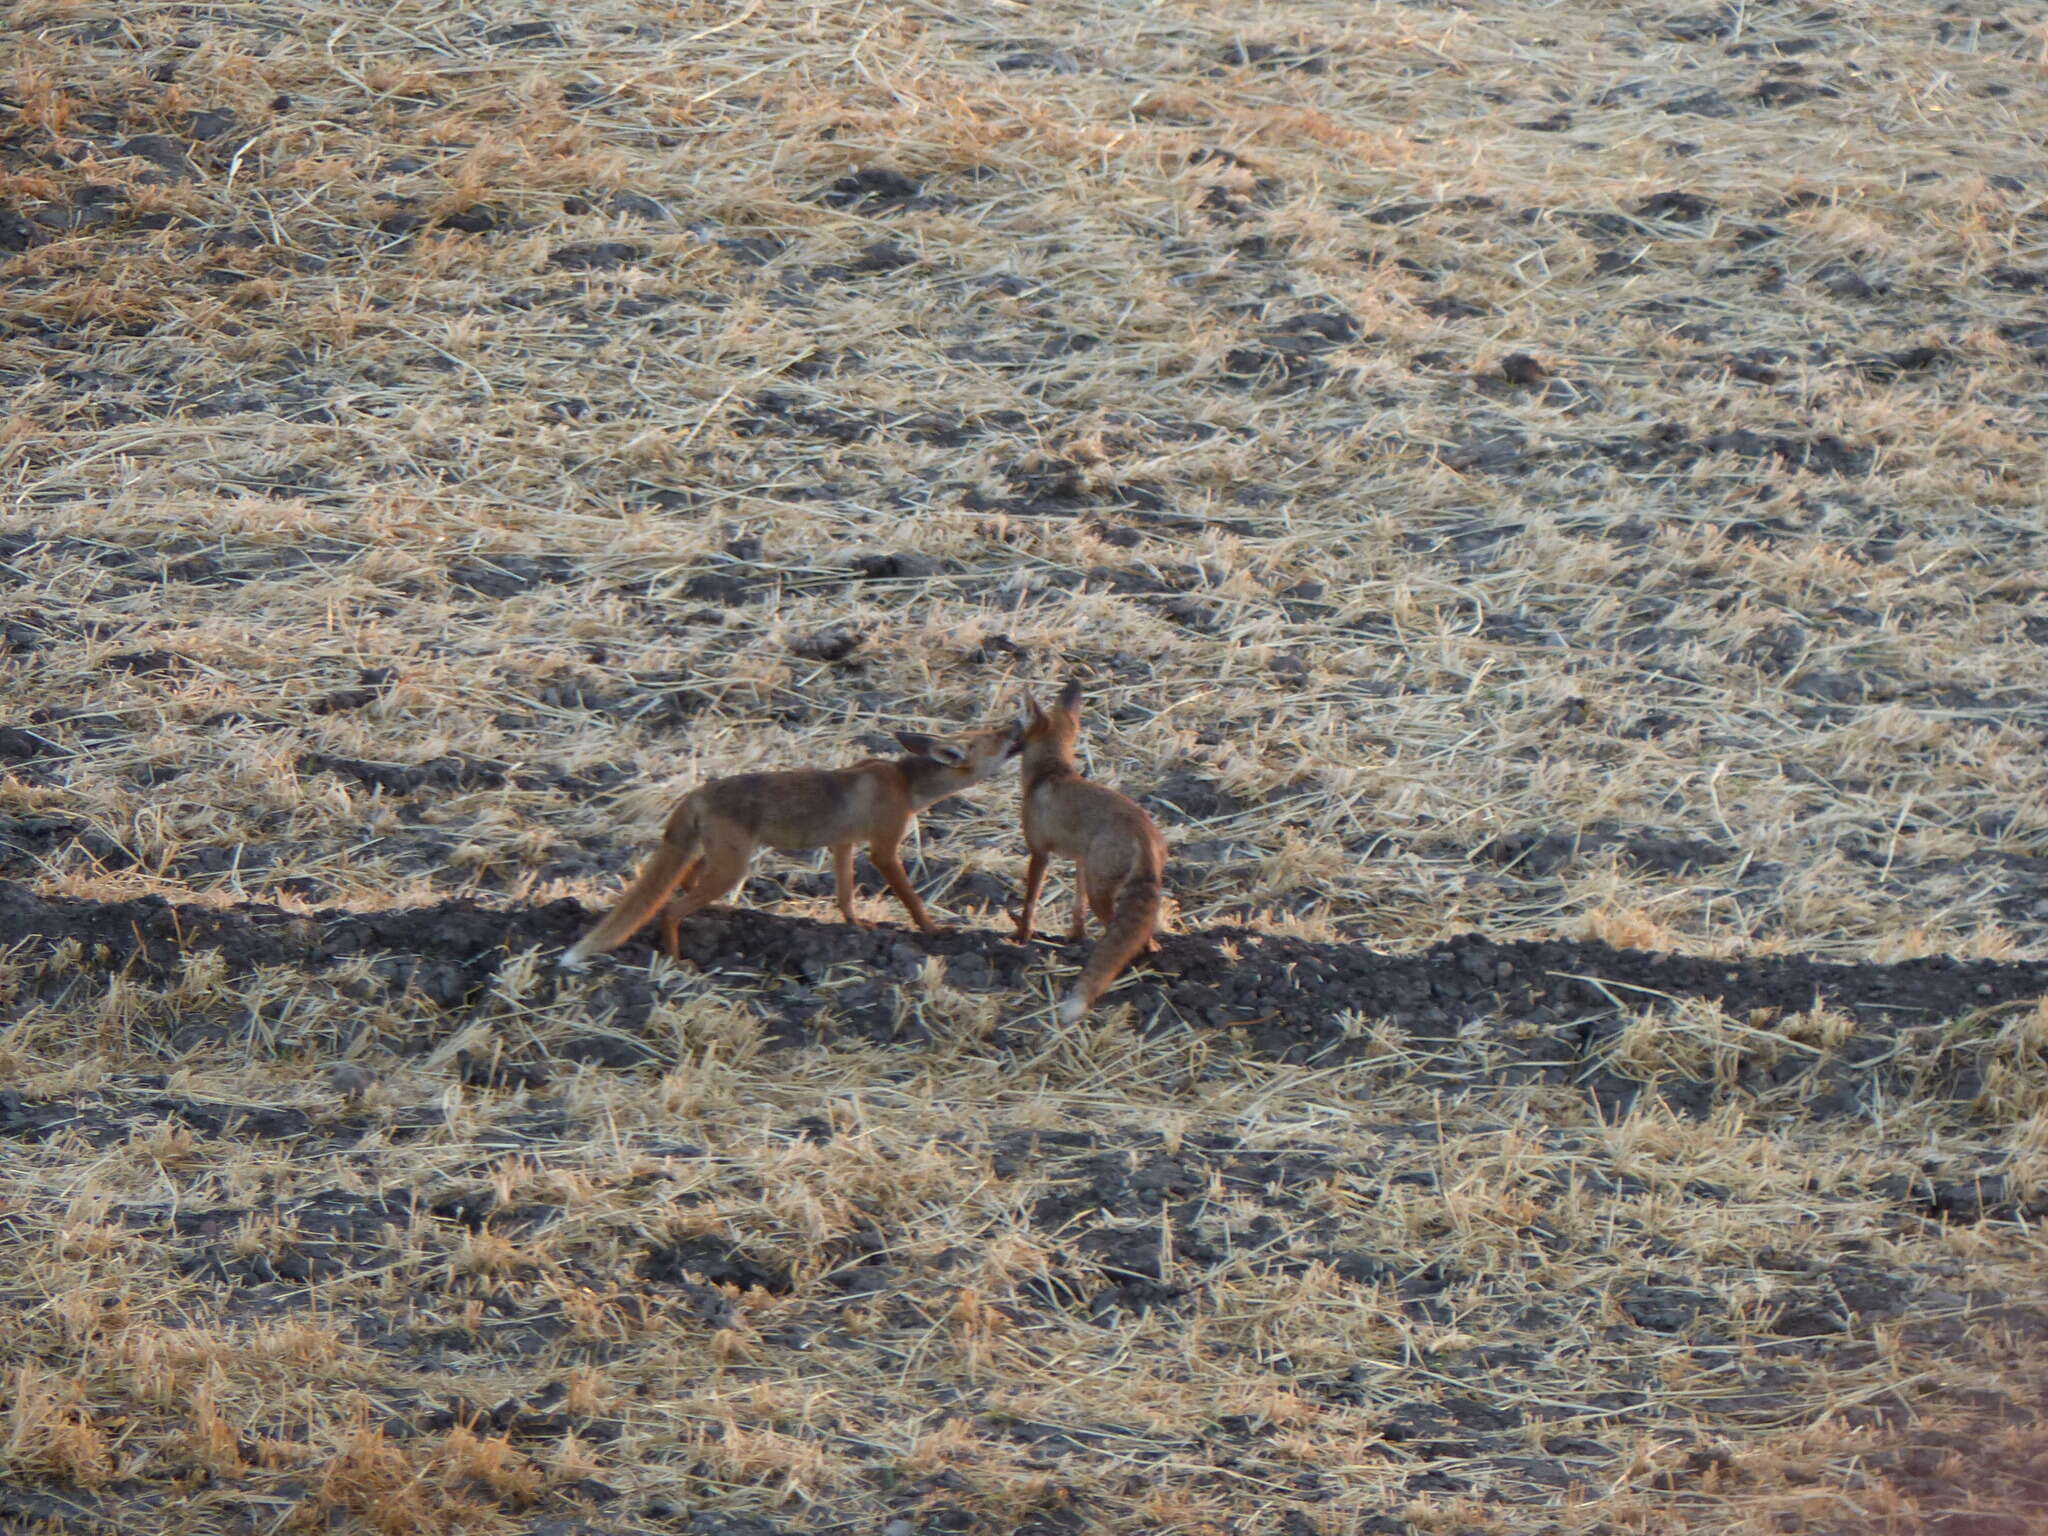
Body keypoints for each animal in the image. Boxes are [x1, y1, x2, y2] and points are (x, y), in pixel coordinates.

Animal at [561, 724, 1024, 974]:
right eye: (995, 736)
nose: (1019, 725)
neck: (906, 784)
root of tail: (695, 794)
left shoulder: (843, 843)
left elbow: (845, 894)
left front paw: (856, 923)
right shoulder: (883, 848)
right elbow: (910, 898)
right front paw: (932, 930)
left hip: (716, 858)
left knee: (683, 884)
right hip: (732, 866)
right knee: (670, 910)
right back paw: (677, 961)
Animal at [1011, 684, 1171, 1024]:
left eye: (1018, 721)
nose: (1008, 733)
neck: (1051, 772)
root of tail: (1142, 831)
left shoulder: (1039, 853)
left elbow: (1030, 901)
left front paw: (1022, 936)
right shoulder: (1081, 860)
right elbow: (1076, 906)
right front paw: (1075, 936)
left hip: (1103, 893)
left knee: (1125, 937)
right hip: (1106, 882)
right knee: (1146, 938)